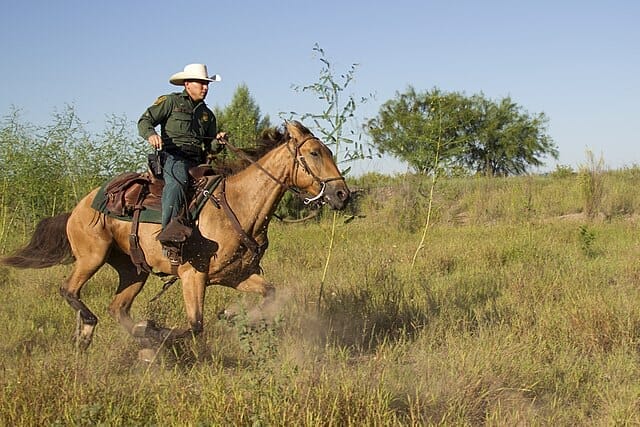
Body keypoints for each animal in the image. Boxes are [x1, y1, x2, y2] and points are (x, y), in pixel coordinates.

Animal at [0, 121, 350, 352]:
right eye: (315, 153)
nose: (342, 194)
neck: (237, 206)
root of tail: (77, 208)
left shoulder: (235, 275)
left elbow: (270, 294)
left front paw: (232, 315)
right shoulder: (192, 275)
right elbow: (195, 325)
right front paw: (158, 331)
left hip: (133, 270)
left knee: (117, 308)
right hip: (92, 256)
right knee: (69, 290)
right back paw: (93, 328)